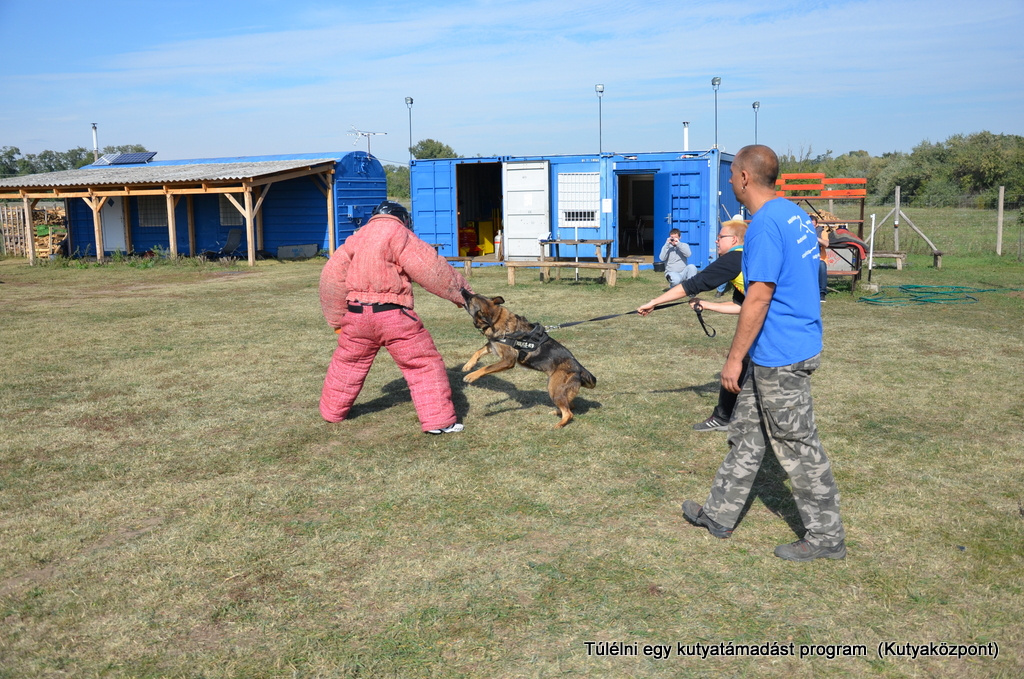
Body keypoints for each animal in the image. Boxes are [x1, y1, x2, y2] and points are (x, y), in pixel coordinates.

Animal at [460, 288, 598, 428]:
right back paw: (557, 412)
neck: (496, 319)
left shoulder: (508, 360)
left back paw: (558, 425)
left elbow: (486, 367)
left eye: (471, 298)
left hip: (554, 389)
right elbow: (478, 352)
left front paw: (471, 376)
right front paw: (468, 365)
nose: (462, 289)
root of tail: (580, 369)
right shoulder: (493, 346)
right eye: (474, 295)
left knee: (569, 413)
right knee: (571, 406)